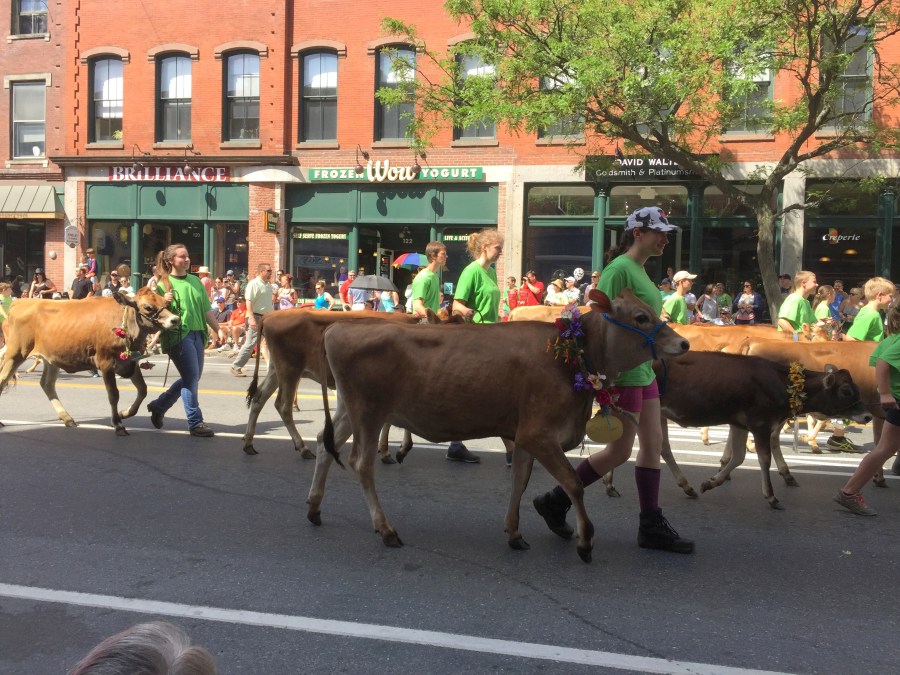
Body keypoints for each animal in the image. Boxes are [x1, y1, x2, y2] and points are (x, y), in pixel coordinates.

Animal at [0, 290, 180, 435]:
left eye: (165, 302)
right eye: (148, 307)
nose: (175, 319)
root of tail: (20, 301)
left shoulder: (130, 363)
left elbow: (143, 389)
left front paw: (124, 413)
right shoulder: (106, 363)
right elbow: (113, 394)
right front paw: (118, 424)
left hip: (52, 359)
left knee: (47, 384)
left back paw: (67, 418)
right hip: (16, 353)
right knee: (3, 379)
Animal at [311, 289, 690, 563]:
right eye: (641, 317)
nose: (684, 342)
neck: (572, 354)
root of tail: (338, 327)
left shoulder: (523, 436)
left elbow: (519, 482)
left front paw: (515, 533)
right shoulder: (539, 433)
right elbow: (572, 483)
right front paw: (585, 542)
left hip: (349, 411)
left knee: (324, 446)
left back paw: (314, 508)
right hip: (368, 412)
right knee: (360, 463)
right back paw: (386, 529)